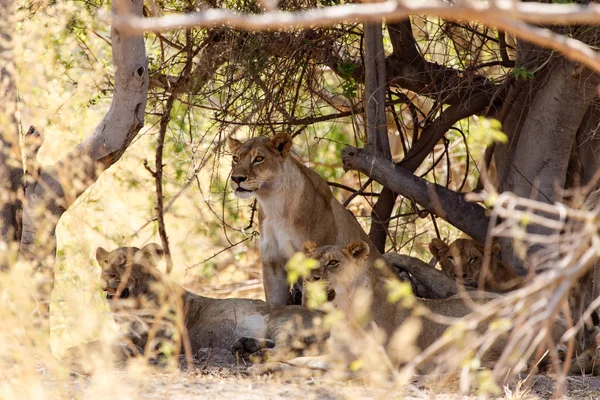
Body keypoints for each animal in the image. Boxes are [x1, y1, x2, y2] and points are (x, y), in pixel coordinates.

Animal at [95, 242, 326, 360]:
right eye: (105, 262)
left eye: (125, 263)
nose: (105, 275)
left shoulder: (161, 338)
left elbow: (99, 344)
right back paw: (245, 346)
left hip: (283, 320)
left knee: (288, 348)